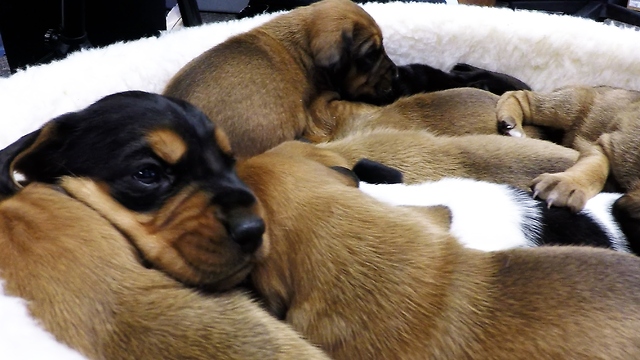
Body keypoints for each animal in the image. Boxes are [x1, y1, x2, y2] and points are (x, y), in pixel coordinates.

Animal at [498, 84, 640, 211]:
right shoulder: (608, 145)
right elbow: (594, 168)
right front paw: (567, 183)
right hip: (568, 106)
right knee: (521, 96)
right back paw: (512, 122)